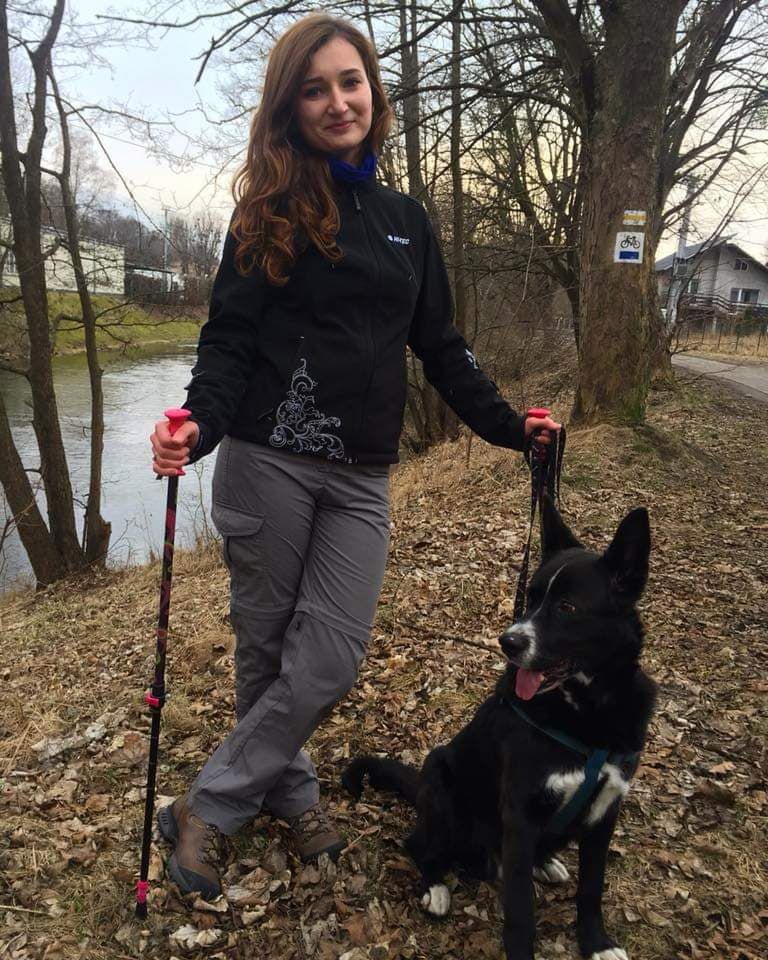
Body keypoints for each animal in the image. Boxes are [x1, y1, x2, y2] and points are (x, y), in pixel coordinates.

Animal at [344, 496, 656, 960]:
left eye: (567, 607)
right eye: (531, 597)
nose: (506, 643)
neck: (585, 714)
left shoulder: (605, 811)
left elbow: (592, 888)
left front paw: (596, 943)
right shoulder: (521, 819)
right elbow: (521, 913)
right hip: (442, 786)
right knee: (419, 846)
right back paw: (436, 887)